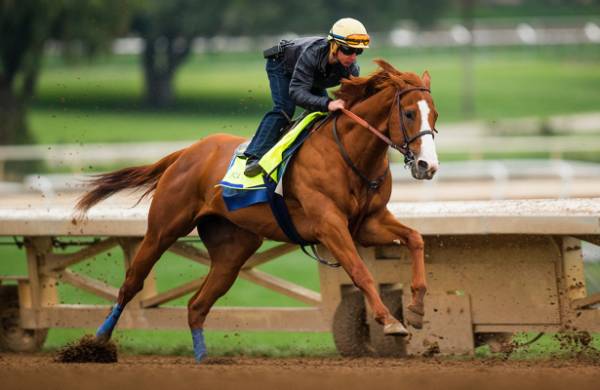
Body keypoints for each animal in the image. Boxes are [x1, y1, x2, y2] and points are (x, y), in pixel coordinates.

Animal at [76, 59, 440, 362]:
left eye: (434, 115)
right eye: (409, 113)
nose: (427, 166)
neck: (349, 155)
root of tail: (186, 152)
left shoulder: (368, 223)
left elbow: (416, 239)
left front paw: (417, 307)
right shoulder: (329, 225)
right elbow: (361, 272)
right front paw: (391, 321)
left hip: (232, 250)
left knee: (197, 305)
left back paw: (202, 358)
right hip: (162, 229)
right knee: (131, 284)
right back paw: (97, 341)